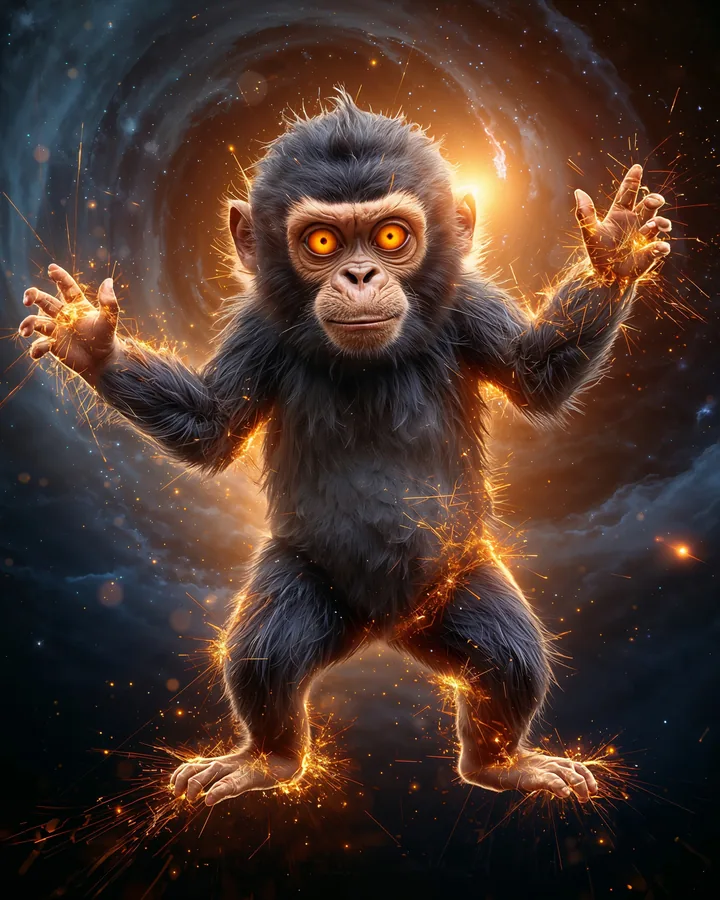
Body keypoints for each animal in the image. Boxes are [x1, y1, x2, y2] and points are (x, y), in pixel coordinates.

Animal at [19, 93, 672, 809]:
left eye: (389, 236)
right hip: (307, 584)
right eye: (323, 241)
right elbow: (211, 426)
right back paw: (267, 760)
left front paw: (616, 249)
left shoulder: (466, 307)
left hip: (458, 583)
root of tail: (382, 631)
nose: (359, 274)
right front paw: (89, 340)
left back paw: (503, 763)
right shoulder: (260, 331)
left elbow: (534, 375)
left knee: (508, 656)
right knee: (267, 654)